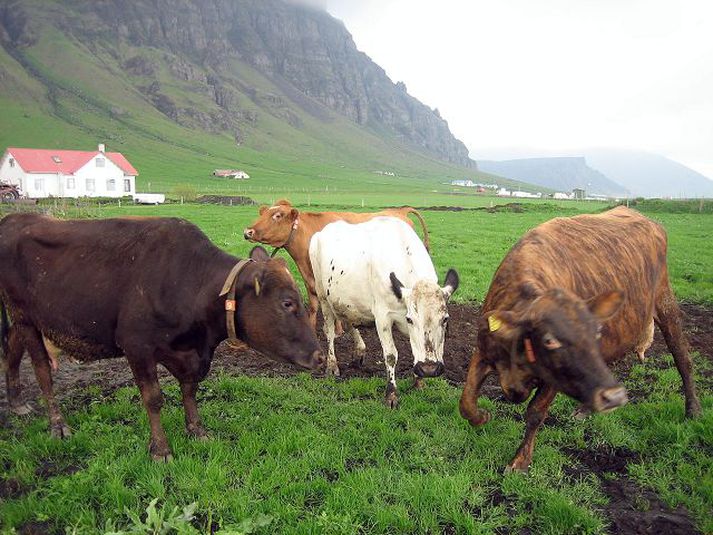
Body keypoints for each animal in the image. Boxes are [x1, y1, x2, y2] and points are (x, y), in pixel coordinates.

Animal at [0, 214, 322, 460]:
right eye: (287, 303)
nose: (319, 356)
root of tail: (15, 219)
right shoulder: (136, 346)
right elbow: (153, 399)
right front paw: (161, 449)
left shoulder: (190, 355)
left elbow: (190, 389)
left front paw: (197, 430)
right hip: (25, 317)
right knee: (42, 371)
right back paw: (57, 425)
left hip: (22, 319)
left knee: (11, 349)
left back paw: (16, 402)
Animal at [242, 198, 428, 328]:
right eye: (262, 213)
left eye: (277, 215)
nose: (247, 231)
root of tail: (401, 211)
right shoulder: (309, 279)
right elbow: (313, 305)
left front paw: (338, 330)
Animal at [308, 217, 458, 406]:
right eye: (410, 319)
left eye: (445, 319)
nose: (429, 369)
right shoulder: (382, 317)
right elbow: (391, 355)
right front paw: (391, 394)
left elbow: (415, 349)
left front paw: (418, 381)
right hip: (322, 296)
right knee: (329, 330)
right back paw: (332, 366)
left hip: (344, 299)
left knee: (348, 321)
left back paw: (359, 351)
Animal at [458, 205, 700, 474]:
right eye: (550, 340)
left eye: (595, 333)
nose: (616, 396)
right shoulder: (483, 351)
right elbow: (466, 401)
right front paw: (482, 416)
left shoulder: (554, 380)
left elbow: (535, 413)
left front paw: (520, 460)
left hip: (666, 302)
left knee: (683, 359)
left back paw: (693, 410)